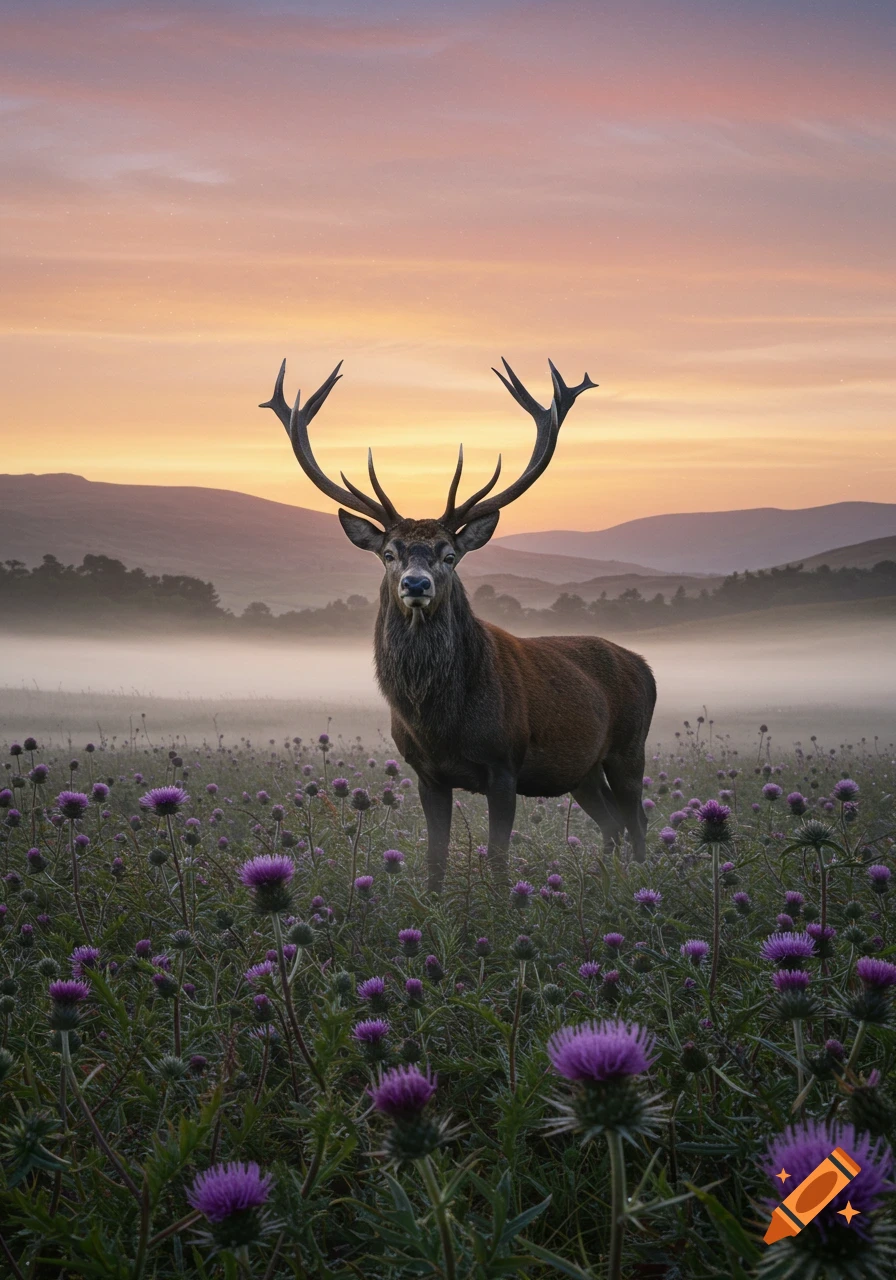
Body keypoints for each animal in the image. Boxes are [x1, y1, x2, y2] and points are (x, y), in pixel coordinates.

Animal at [260, 357, 656, 893]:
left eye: (450, 554)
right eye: (389, 553)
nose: (417, 583)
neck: (439, 721)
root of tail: (645, 667)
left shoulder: (505, 764)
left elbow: (498, 856)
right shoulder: (427, 772)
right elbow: (436, 856)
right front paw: (433, 901)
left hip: (629, 746)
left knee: (637, 820)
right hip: (583, 770)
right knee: (613, 821)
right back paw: (601, 881)